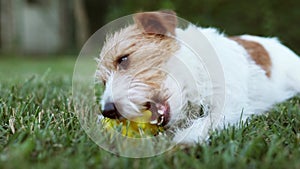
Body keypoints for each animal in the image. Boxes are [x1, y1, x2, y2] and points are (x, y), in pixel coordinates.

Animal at [96, 10, 300, 145]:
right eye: (104, 82)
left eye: (123, 59)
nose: (107, 111)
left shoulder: (229, 107)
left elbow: (202, 125)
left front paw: (182, 142)